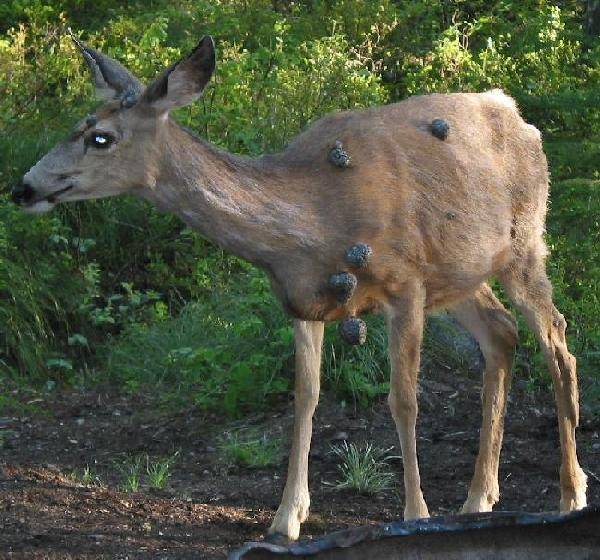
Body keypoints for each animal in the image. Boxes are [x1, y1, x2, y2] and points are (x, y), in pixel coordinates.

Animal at [11, 32, 588, 540]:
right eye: (79, 125)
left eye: (100, 138)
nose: (24, 188)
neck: (311, 218)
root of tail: (519, 116)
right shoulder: (303, 300)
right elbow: (305, 397)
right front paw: (286, 517)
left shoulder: (405, 284)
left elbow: (403, 399)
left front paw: (416, 514)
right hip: (459, 275)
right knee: (502, 334)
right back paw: (477, 499)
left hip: (523, 243)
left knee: (557, 341)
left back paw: (570, 494)